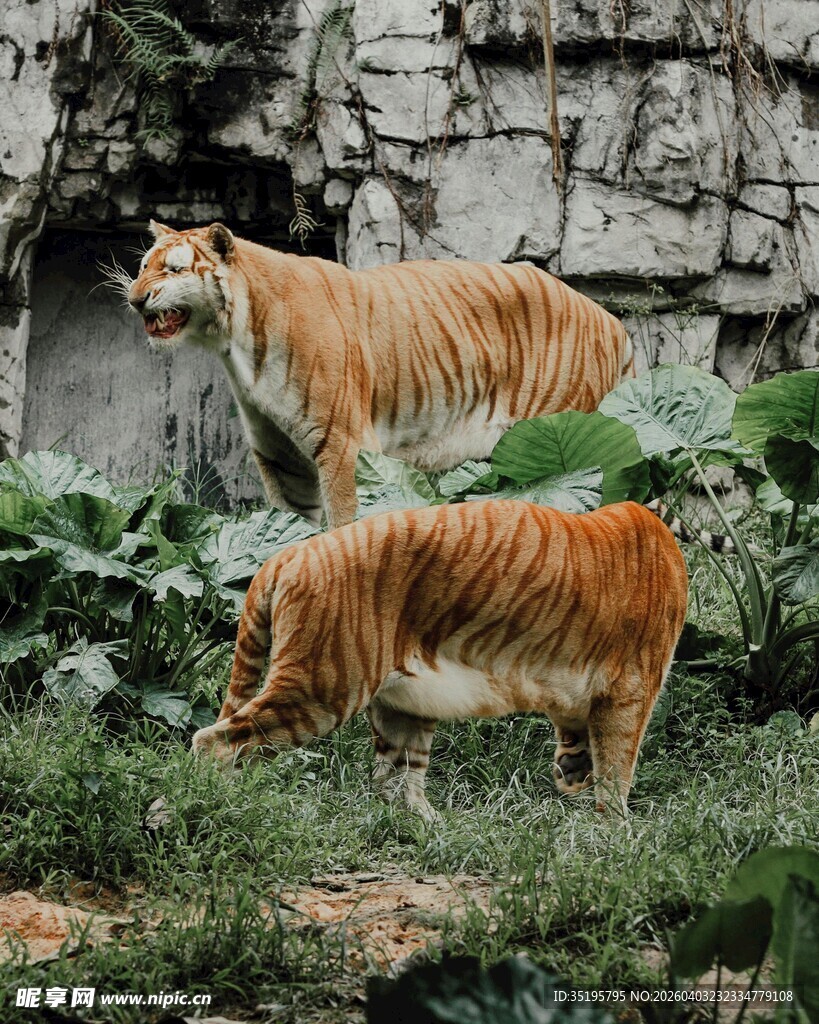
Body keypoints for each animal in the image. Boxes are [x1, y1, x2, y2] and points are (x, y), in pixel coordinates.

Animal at [123, 220, 634, 530]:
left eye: (173, 269)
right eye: (143, 266)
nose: (134, 297)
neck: (237, 344)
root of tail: (614, 323)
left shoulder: (344, 443)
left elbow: (345, 522)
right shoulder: (282, 459)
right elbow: (289, 532)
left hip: (569, 441)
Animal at [191, 499, 688, 817]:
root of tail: (289, 551)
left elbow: (583, 745)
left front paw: (573, 776)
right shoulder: (631, 690)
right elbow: (618, 770)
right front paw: (616, 835)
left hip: (403, 703)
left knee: (390, 781)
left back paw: (426, 826)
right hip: (322, 686)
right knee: (216, 740)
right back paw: (218, 804)